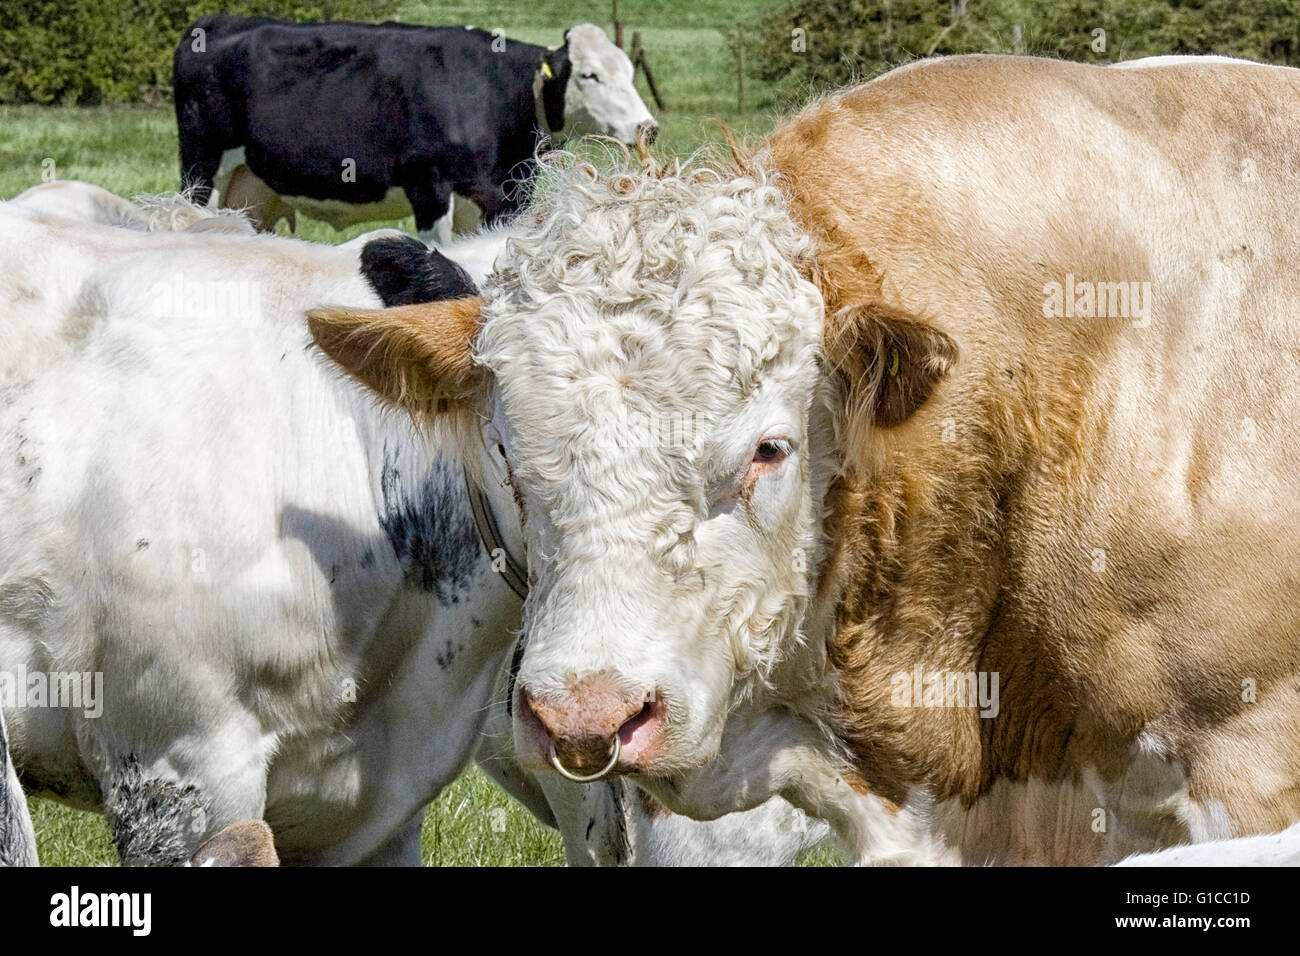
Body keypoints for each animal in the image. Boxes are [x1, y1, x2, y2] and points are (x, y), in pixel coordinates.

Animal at [173, 16, 657, 244]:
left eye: (631, 71)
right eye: (590, 75)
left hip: (252, 189)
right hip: (202, 169)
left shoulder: (503, 195)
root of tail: (218, 20)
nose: (647, 127)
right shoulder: (430, 185)